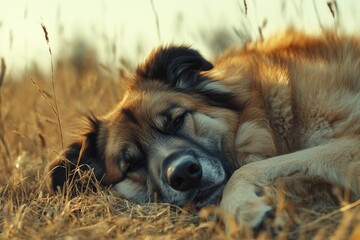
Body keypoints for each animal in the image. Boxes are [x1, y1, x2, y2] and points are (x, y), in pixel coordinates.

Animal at [46, 30, 360, 229]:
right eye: (132, 164)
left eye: (177, 120)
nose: (184, 174)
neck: (266, 116)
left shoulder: (350, 141)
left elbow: (246, 170)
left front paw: (244, 210)